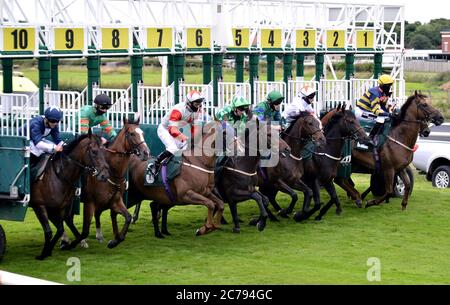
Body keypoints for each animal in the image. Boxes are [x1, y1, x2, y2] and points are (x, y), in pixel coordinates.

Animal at [29, 130, 109, 258]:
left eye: (104, 150)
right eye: (94, 151)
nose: (104, 175)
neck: (58, 175)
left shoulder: (61, 206)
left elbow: (60, 228)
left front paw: (52, 248)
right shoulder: (39, 206)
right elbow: (49, 231)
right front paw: (43, 253)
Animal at [62, 115, 150, 248]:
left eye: (143, 133)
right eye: (131, 133)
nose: (146, 153)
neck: (112, 171)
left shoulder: (116, 200)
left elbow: (127, 217)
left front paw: (114, 241)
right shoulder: (89, 202)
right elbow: (85, 229)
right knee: (66, 219)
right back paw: (71, 240)